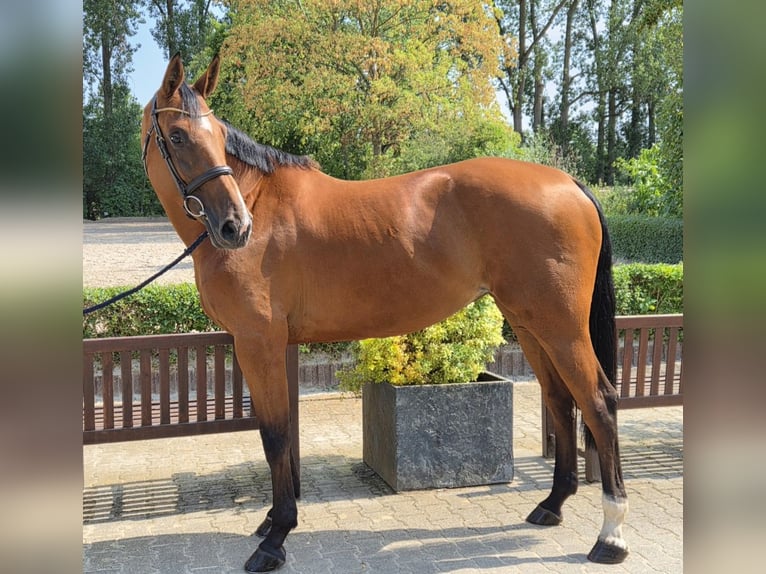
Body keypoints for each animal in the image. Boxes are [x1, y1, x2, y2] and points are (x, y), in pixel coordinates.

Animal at [141, 54, 629, 571]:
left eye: (216, 134)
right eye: (178, 136)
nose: (236, 227)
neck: (261, 203)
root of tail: (568, 183)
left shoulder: (259, 343)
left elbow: (274, 436)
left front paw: (275, 538)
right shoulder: (266, 346)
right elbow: (280, 434)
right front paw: (273, 520)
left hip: (561, 328)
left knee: (599, 402)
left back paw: (611, 535)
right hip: (529, 322)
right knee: (560, 399)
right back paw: (552, 505)